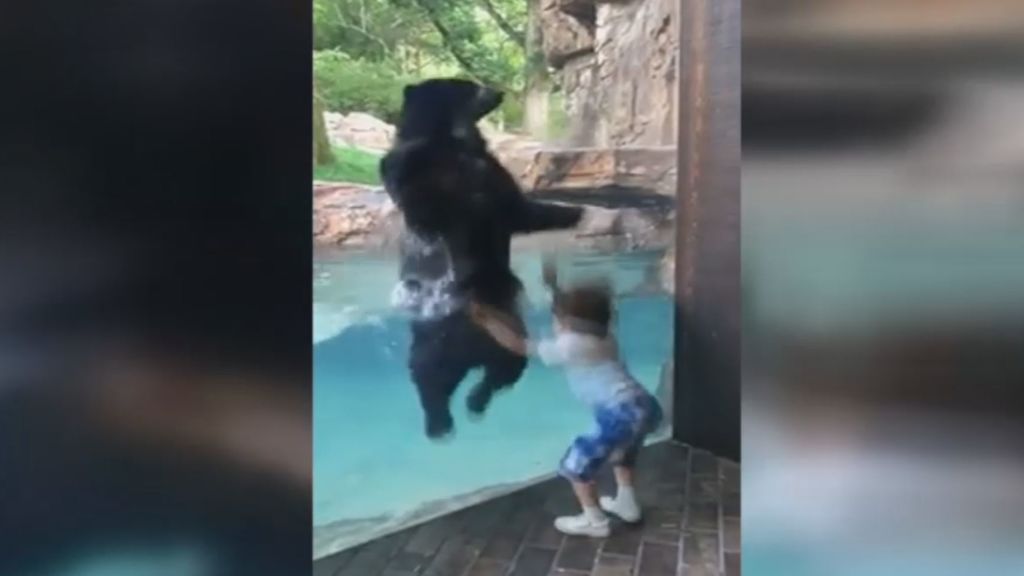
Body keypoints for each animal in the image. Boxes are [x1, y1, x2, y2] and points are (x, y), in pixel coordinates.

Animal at [380, 78, 583, 439]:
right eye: (470, 85)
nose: (499, 92)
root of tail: (469, 355)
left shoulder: (486, 172)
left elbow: (516, 208)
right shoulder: (425, 171)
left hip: (507, 338)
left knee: (501, 370)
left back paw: (469, 405)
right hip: (436, 343)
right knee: (431, 378)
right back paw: (442, 420)